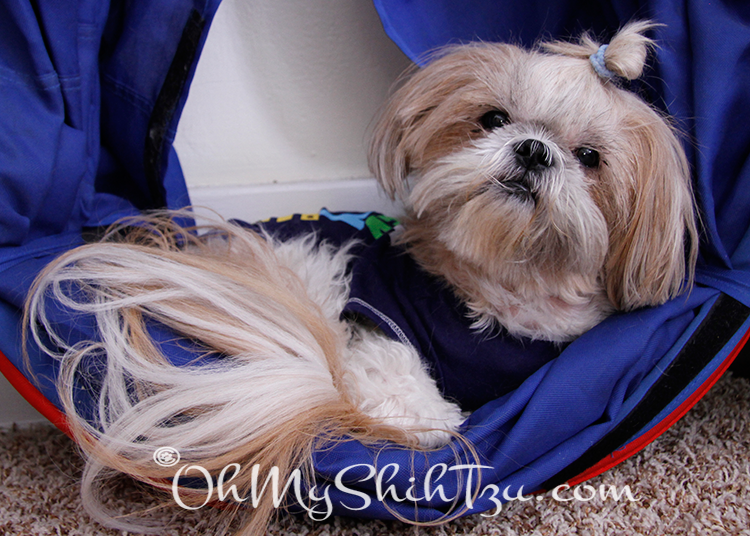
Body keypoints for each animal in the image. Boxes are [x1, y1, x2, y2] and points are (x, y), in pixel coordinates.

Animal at [27, 21, 700, 536]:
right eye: (492, 118)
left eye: (590, 158)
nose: (534, 149)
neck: (495, 287)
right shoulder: (373, 317)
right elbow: (406, 392)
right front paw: (433, 416)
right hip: (307, 270)